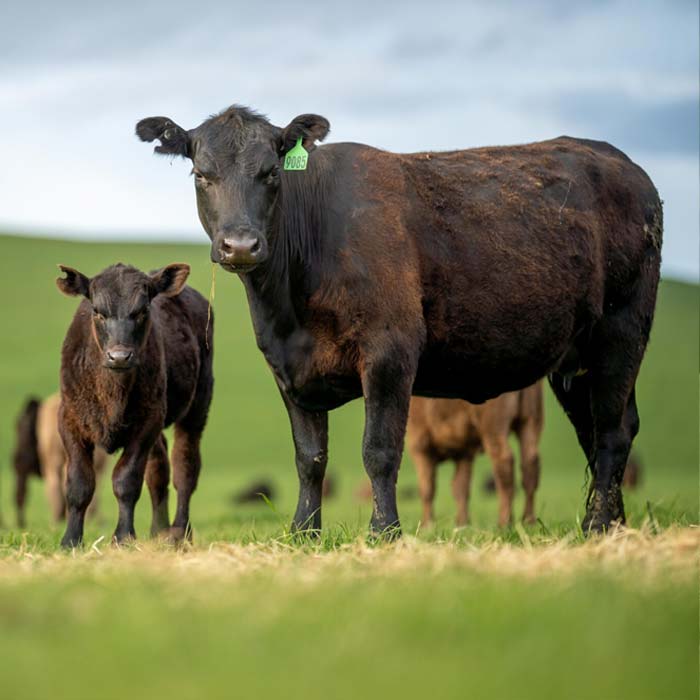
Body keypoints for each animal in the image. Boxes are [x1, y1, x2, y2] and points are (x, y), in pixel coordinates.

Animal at [56, 262, 213, 547]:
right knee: (159, 468)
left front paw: (123, 537)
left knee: (185, 468)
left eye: (142, 311)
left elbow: (126, 481)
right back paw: (159, 530)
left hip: (197, 406)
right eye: (98, 312)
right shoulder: (69, 420)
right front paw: (71, 540)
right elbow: (79, 484)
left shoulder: (146, 424)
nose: (119, 356)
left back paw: (179, 533)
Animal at [407, 383, 543, 528]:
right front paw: (462, 524)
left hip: (493, 428)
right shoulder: (464, 453)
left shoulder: (420, 445)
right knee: (530, 464)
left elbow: (427, 488)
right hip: (530, 422)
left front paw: (426, 525)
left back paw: (504, 523)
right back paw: (529, 521)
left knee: (505, 463)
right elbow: (461, 487)